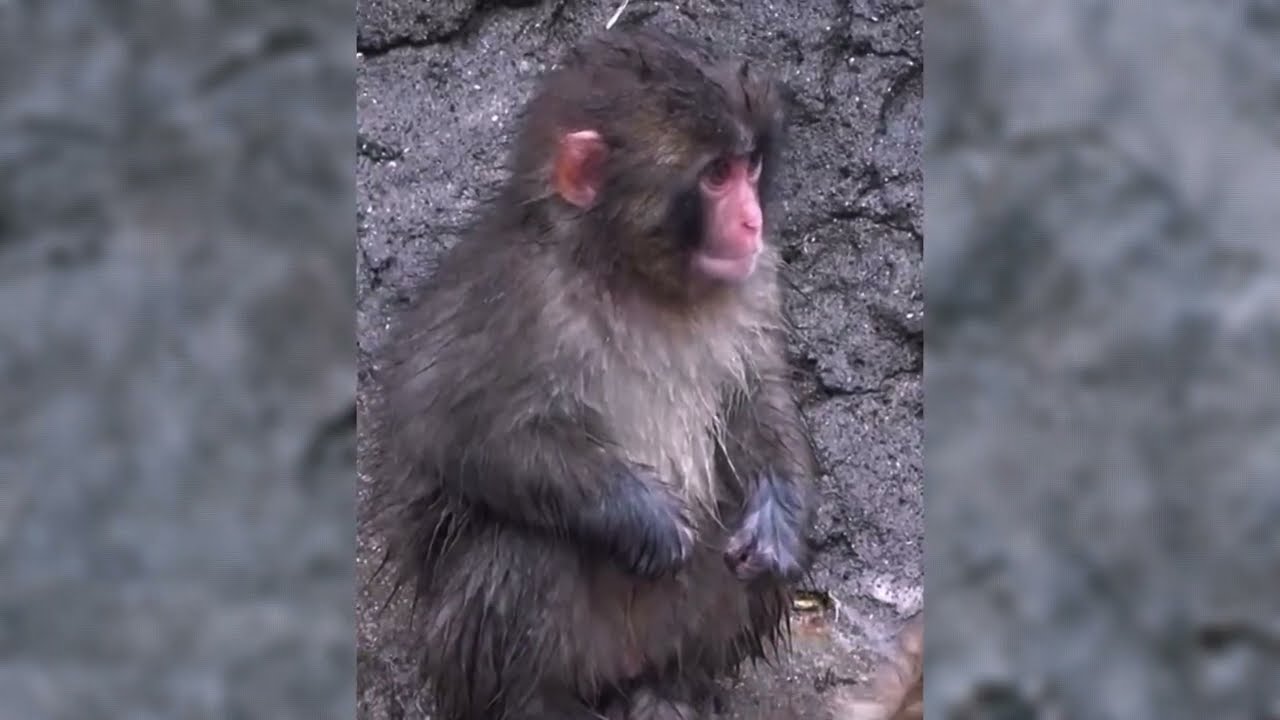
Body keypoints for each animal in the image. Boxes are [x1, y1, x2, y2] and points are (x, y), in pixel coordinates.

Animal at [363, 26, 817, 720]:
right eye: (716, 176)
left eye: (750, 167)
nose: (752, 222)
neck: (629, 275)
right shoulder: (519, 297)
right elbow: (452, 432)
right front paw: (643, 516)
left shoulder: (756, 278)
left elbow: (757, 398)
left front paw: (777, 520)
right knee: (527, 546)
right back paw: (534, 702)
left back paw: (673, 686)